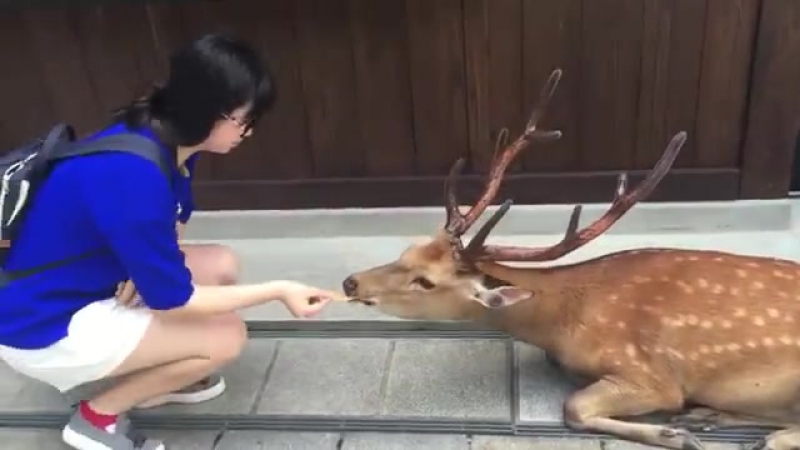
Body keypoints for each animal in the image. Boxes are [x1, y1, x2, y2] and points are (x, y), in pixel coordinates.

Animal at [340, 68, 800, 450]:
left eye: (425, 281)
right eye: (407, 250)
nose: (351, 282)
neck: (562, 324)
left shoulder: (650, 374)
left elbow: (575, 407)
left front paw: (675, 435)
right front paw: (685, 428)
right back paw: (709, 417)